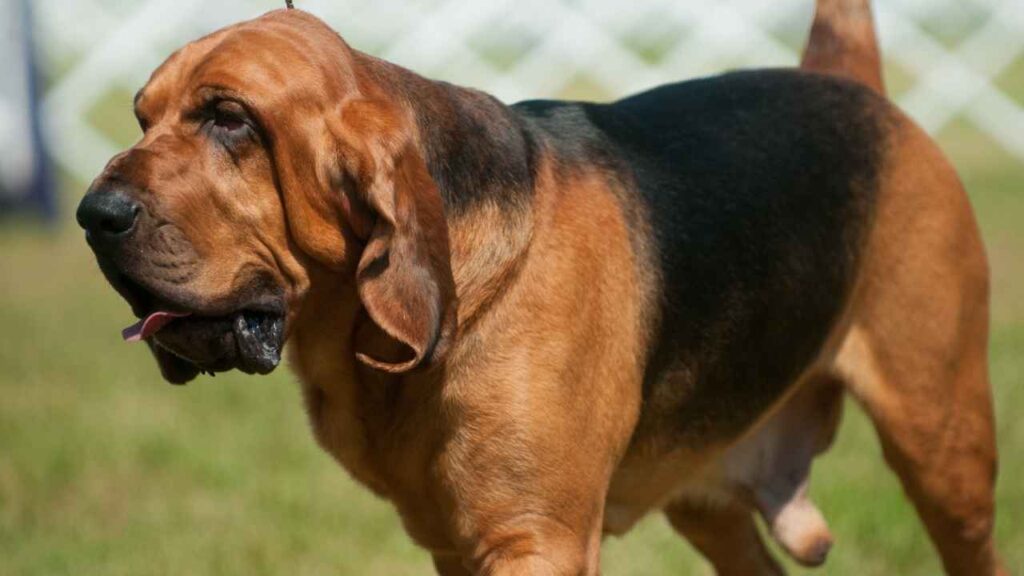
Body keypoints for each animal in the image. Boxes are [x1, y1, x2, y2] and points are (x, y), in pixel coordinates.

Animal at [75, 0, 1003, 569]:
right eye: (141, 117)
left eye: (230, 119)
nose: (92, 213)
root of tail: (851, 85)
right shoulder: (457, 547)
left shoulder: (535, 542)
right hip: (708, 501)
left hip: (945, 451)